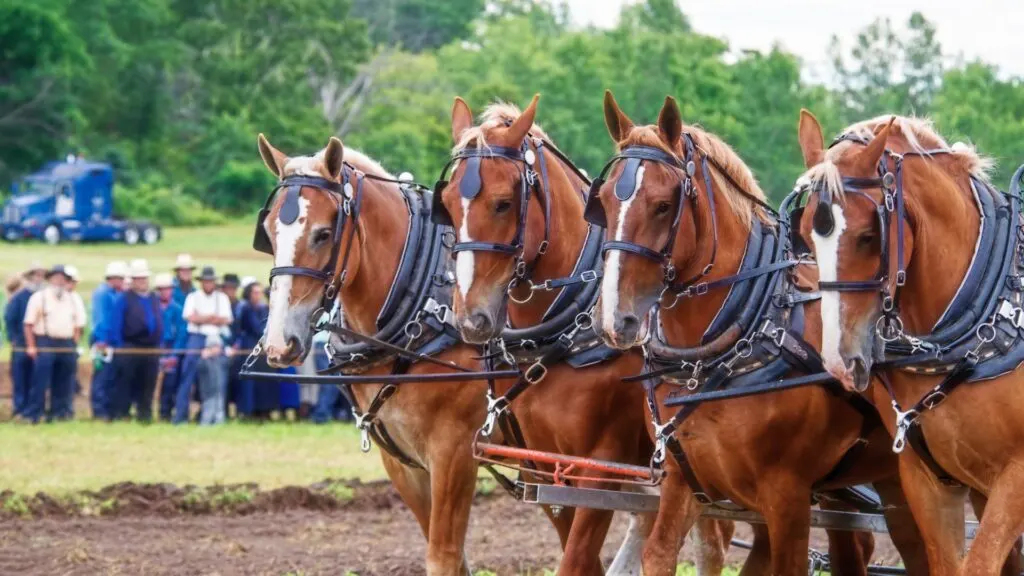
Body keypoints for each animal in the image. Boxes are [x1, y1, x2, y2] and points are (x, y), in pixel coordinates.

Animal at [589, 94, 933, 573]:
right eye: (602, 201)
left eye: (662, 205)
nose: (613, 319)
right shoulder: (683, 481)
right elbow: (658, 553)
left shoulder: (786, 496)